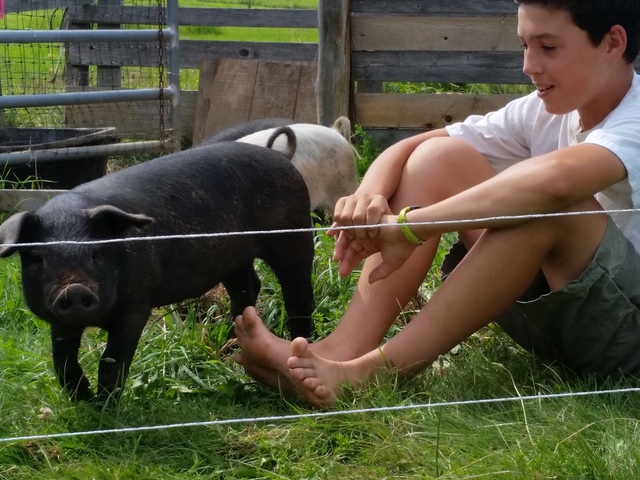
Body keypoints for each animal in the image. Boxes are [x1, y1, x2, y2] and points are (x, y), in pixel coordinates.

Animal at [0, 139, 315, 403]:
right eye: (37, 258)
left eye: (97, 252)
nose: (75, 289)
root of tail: (281, 156)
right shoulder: (60, 320)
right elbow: (62, 360)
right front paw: (83, 400)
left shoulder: (136, 305)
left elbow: (112, 359)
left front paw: (104, 407)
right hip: (233, 258)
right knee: (248, 287)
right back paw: (228, 347)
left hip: (293, 235)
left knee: (298, 292)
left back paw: (300, 343)